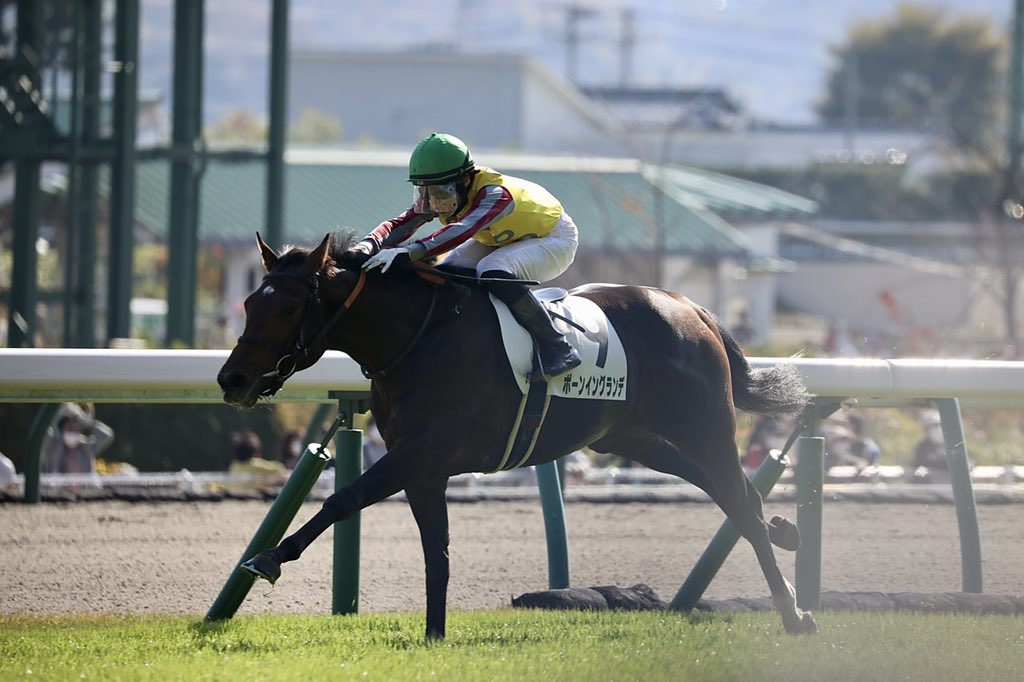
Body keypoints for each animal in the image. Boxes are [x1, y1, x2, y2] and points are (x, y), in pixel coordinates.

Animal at [216, 231, 815, 634]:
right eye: (247, 302)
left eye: (288, 306)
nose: (232, 379)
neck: (419, 335)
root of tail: (691, 307)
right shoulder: (424, 467)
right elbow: (437, 551)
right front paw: (434, 635)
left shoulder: (422, 451)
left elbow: (343, 499)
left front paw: (269, 558)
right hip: (630, 437)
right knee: (727, 493)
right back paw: (786, 538)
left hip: (705, 426)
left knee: (738, 498)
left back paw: (794, 611)